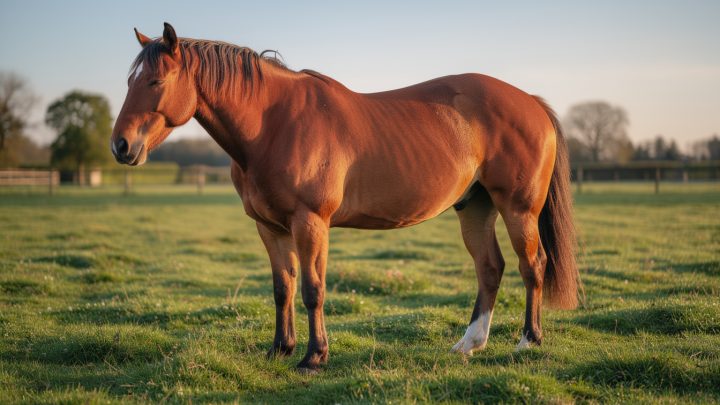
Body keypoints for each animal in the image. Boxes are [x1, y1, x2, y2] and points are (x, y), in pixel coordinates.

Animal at [111, 22, 580, 372]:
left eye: (155, 80)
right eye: (130, 80)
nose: (121, 146)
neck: (273, 125)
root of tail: (531, 102)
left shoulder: (309, 222)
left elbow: (312, 289)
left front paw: (313, 357)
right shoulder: (270, 228)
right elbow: (283, 287)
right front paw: (280, 349)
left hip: (518, 209)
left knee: (532, 265)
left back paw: (528, 341)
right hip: (475, 208)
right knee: (490, 268)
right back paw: (470, 343)